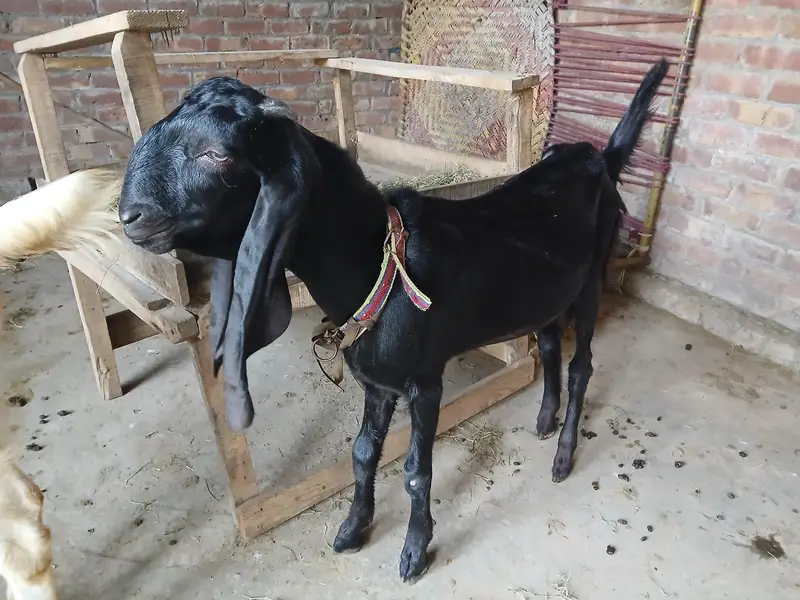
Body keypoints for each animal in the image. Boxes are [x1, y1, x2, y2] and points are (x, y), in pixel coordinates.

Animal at [117, 58, 669, 581]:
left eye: (218, 154)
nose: (129, 217)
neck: (379, 269)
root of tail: (596, 156)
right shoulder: (376, 381)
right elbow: (363, 453)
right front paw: (351, 529)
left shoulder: (424, 382)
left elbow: (415, 471)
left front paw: (414, 552)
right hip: (544, 291)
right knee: (551, 343)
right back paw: (544, 420)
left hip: (593, 278)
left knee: (582, 366)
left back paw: (563, 455)